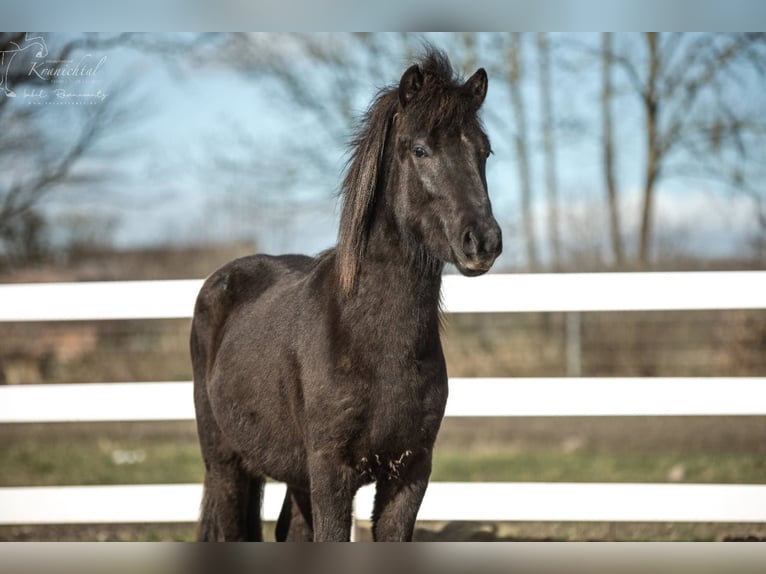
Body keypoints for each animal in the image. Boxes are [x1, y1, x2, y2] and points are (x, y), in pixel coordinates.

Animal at [190, 48, 502, 542]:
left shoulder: (410, 474)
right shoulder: (331, 474)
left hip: (293, 476)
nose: (483, 241)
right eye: (420, 149)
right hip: (226, 465)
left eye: (483, 150)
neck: (372, 339)